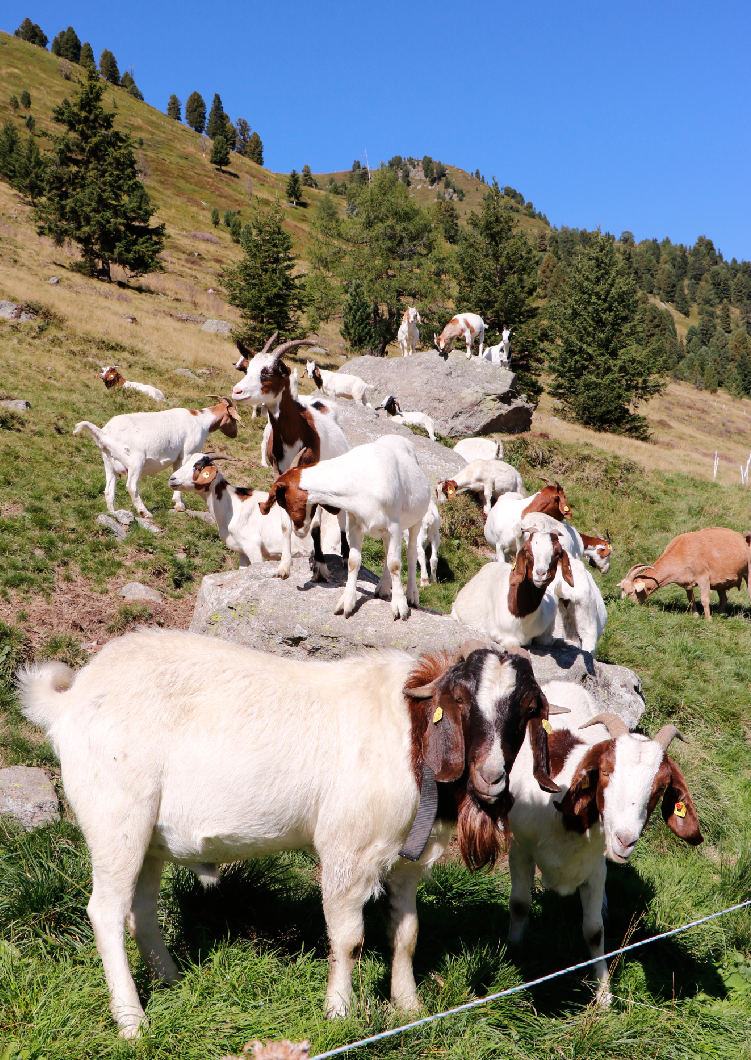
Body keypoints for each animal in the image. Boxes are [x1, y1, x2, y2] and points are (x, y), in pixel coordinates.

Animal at [17, 627, 564, 1034]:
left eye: (526, 711)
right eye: (460, 700)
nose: (492, 777)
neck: (411, 735)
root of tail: (71, 700)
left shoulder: (407, 854)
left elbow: (406, 933)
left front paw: (409, 1007)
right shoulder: (348, 849)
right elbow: (348, 938)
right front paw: (338, 1012)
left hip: (149, 835)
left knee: (141, 911)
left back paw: (169, 982)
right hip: (116, 818)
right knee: (106, 913)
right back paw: (133, 1021)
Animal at [73, 398, 240, 517]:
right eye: (234, 418)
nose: (235, 434)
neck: (199, 420)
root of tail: (105, 433)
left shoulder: (177, 457)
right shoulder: (187, 453)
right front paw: (180, 505)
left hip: (109, 464)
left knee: (108, 491)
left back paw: (114, 513)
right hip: (135, 461)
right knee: (131, 486)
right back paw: (145, 512)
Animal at [260, 432, 430, 619]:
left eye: (284, 502)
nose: (299, 531)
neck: (359, 478)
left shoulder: (393, 526)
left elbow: (395, 564)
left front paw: (400, 606)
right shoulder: (356, 525)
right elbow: (354, 562)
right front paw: (346, 602)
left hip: (415, 521)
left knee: (411, 552)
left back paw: (412, 596)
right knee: (388, 552)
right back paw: (383, 589)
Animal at [504, 686, 704, 1000]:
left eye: (660, 787)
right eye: (606, 771)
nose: (625, 840)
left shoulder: (594, 869)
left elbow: (594, 930)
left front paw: (604, 994)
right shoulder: (521, 849)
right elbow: (520, 904)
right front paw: (514, 951)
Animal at [615, 525, 751, 619]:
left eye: (631, 592)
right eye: (622, 590)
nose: (624, 606)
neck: (680, 552)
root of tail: (744, 540)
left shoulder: (703, 578)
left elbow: (704, 599)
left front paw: (708, 620)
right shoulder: (687, 582)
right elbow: (691, 599)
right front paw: (695, 616)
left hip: (747, 572)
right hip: (720, 581)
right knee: (723, 598)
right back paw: (720, 615)